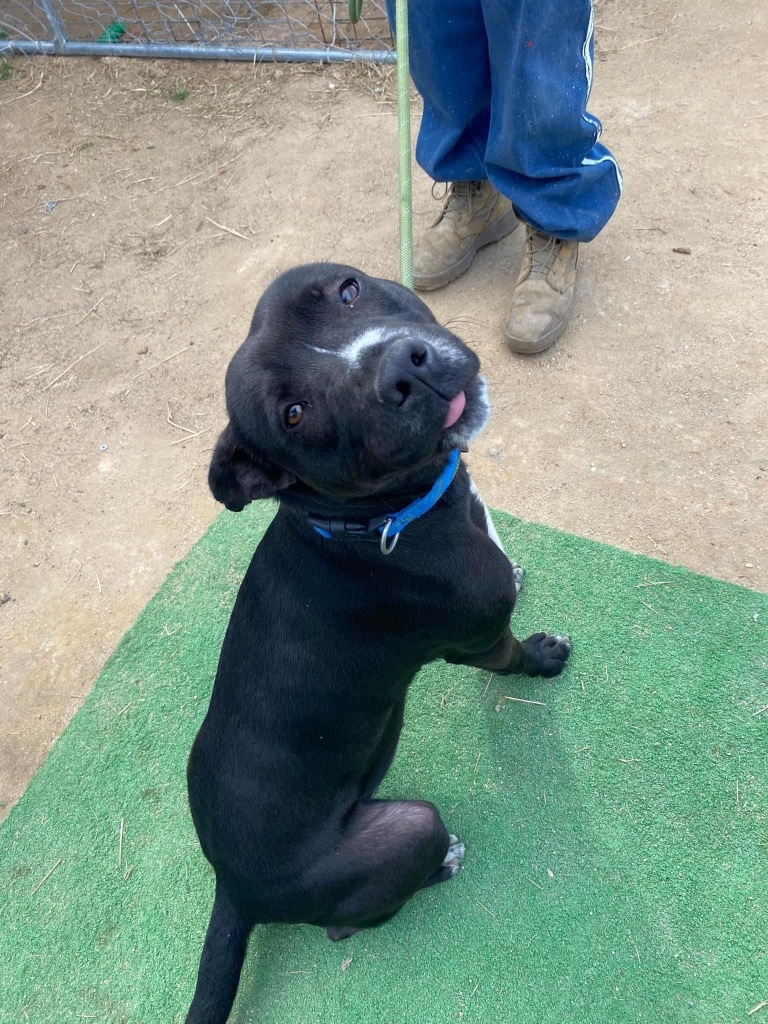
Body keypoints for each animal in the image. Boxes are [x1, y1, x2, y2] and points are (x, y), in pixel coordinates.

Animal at [186, 266, 573, 1024]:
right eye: (294, 414)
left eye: (345, 290)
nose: (403, 369)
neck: (378, 525)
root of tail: (234, 890)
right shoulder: (478, 638)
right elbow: (512, 652)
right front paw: (543, 658)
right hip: (408, 827)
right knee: (350, 918)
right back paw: (444, 863)